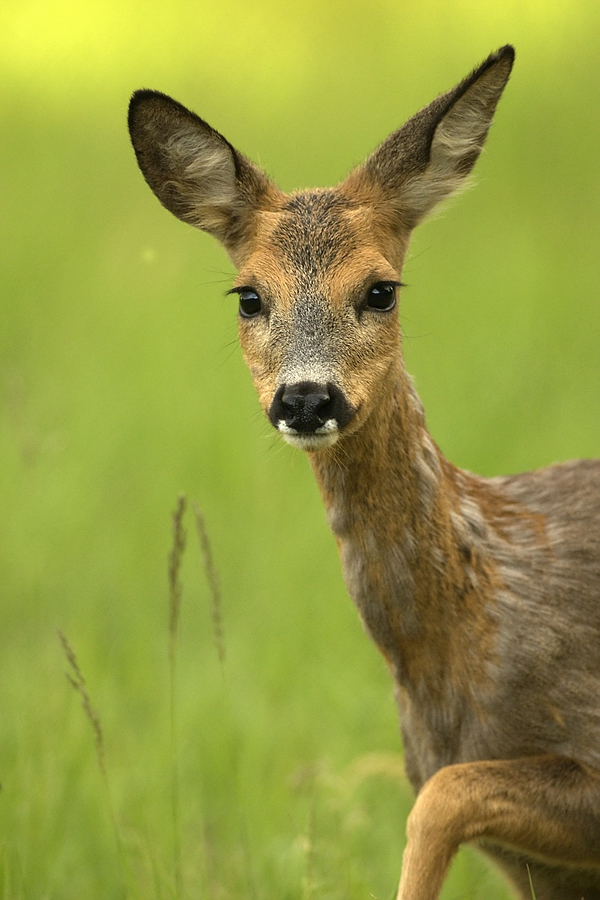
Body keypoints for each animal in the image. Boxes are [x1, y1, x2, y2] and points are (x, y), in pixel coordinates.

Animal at [129, 47, 600, 900]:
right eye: (249, 296)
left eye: (381, 290)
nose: (307, 397)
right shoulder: (542, 865)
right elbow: (447, 792)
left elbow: (442, 799)